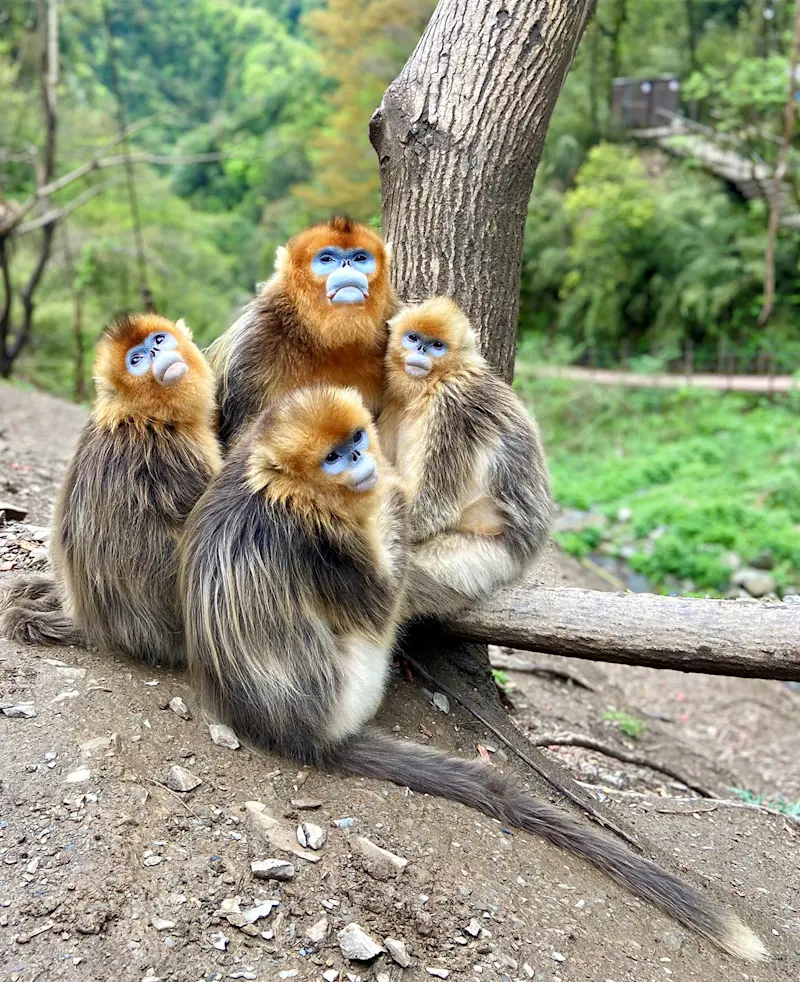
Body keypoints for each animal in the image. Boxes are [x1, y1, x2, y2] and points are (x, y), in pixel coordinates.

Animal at [180, 384, 766, 963]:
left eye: (354, 442)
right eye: (333, 458)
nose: (362, 461)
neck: (288, 490)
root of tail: (299, 733)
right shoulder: (320, 539)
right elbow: (378, 601)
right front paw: (391, 493)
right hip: (359, 680)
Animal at [379, 296, 553, 619]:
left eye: (437, 345)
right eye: (413, 338)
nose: (421, 351)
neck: (435, 383)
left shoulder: (452, 407)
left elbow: (433, 508)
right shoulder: (394, 400)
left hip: (477, 563)